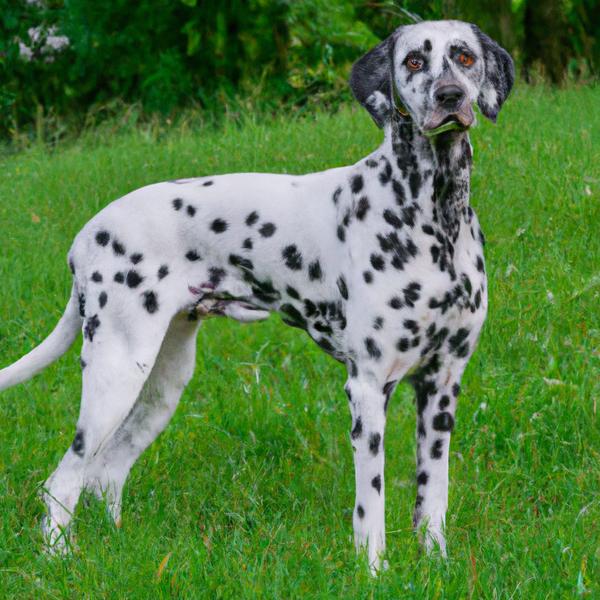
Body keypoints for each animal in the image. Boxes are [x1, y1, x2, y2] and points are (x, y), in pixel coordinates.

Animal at [1, 19, 516, 572]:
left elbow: (432, 497)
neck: (436, 216)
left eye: (463, 57)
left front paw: (437, 565)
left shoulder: (442, 386)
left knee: (107, 472)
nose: (450, 96)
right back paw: (57, 561)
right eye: (415, 61)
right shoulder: (367, 388)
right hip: (115, 376)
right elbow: (370, 506)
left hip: (163, 384)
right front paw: (373, 572)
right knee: (63, 481)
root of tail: (85, 237)